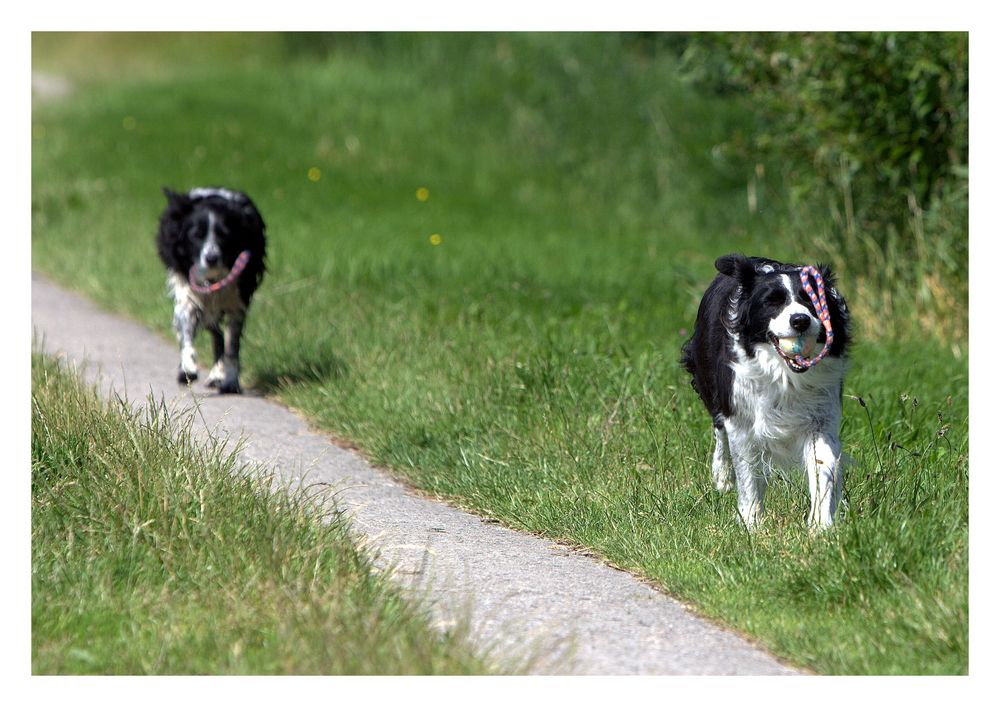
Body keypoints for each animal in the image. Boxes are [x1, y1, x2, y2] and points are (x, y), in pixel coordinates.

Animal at [155, 187, 266, 392]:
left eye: (225, 235)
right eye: (196, 235)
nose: (211, 258)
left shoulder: (236, 303)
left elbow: (232, 346)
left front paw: (230, 381)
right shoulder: (188, 296)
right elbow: (187, 335)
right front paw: (187, 369)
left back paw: (218, 375)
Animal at [680, 258, 852, 528]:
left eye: (811, 300)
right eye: (772, 302)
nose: (800, 320)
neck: (785, 375)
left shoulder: (821, 416)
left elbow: (823, 464)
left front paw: (820, 525)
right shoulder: (741, 415)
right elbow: (747, 470)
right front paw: (752, 523)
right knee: (719, 427)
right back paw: (722, 476)